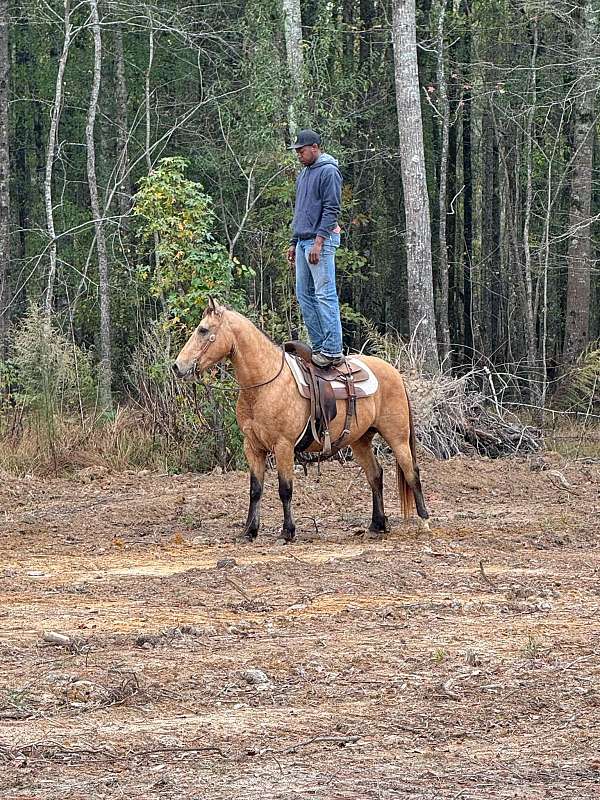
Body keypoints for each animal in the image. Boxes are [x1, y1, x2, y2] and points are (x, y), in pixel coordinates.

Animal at [171, 302, 428, 544]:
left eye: (203, 330)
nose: (177, 366)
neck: (264, 383)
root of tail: (393, 372)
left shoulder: (283, 446)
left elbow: (285, 489)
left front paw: (287, 532)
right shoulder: (253, 447)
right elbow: (255, 490)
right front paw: (249, 531)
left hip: (397, 437)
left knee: (411, 471)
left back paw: (423, 520)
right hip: (360, 440)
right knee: (375, 475)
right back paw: (377, 525)